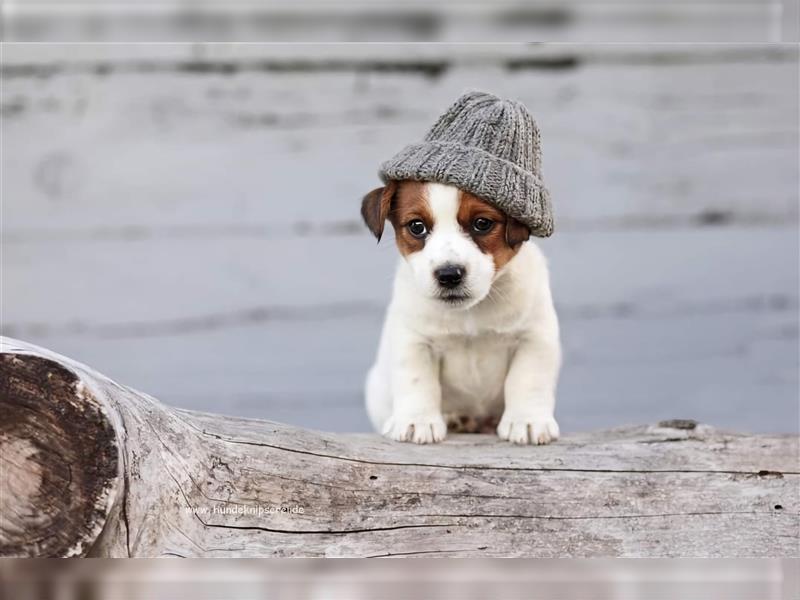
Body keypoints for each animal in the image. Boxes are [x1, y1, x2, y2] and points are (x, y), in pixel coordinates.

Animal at [362, 178, 564, 446]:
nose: (449, 275)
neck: (470, 313)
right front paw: (417, 421)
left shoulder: (534, 338)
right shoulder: (413, 340)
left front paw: (528, 420)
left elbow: (527, 379)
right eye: (417, 227)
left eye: (482, 223)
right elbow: (416, 380)